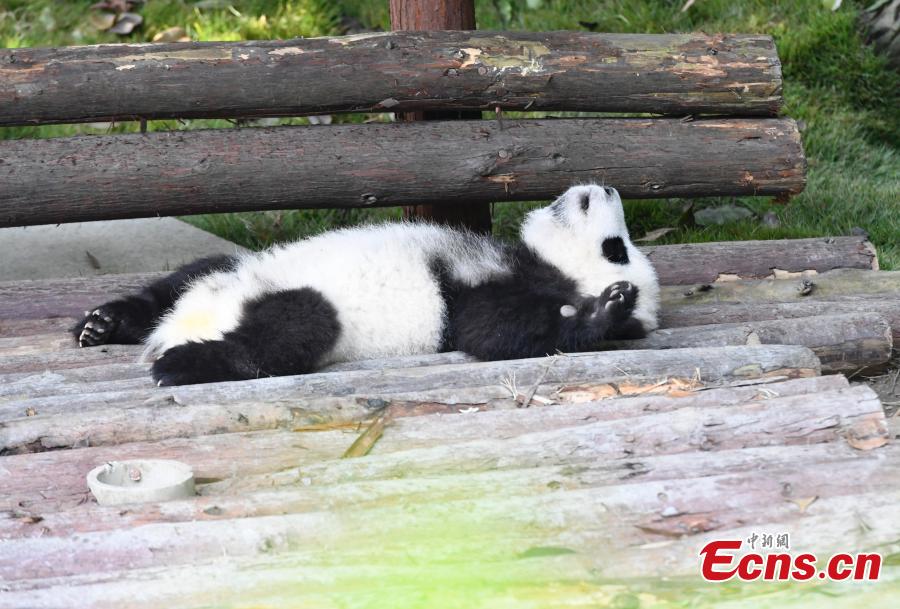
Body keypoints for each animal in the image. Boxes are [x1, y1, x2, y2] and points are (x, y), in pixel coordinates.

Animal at [74, 183, 656, 388]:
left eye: (617, 249)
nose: (605, 187)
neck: (527, 265)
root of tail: (185, 324)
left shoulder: (473, 300)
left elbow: (491, 333)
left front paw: (607, 312)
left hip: (306, 314)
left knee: (287, 333)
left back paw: (181, 362)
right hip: (229, 269)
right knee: (187, 276)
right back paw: (103, 323)